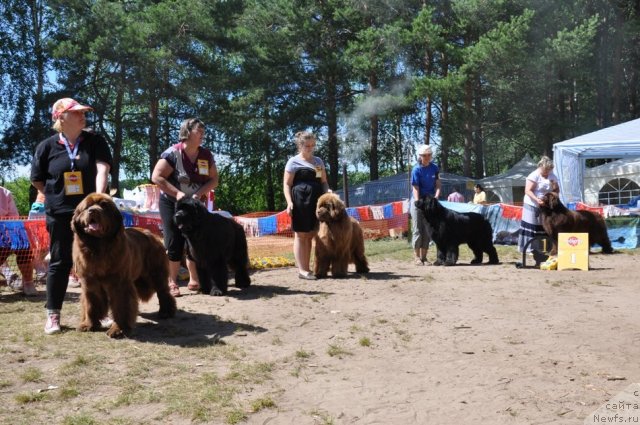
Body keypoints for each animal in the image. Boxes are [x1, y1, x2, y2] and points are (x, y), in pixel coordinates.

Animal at [71, 193, 176, 338]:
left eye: (104, 206)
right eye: (87, 207)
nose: (93, 211)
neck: (98, 247)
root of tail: (153, 234)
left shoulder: (119, 283)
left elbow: (121, 306)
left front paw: (119, 329)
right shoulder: (90, 283)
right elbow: (90, 304)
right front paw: (89, 324)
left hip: (156, 273)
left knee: (163, 292)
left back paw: (166, 312)